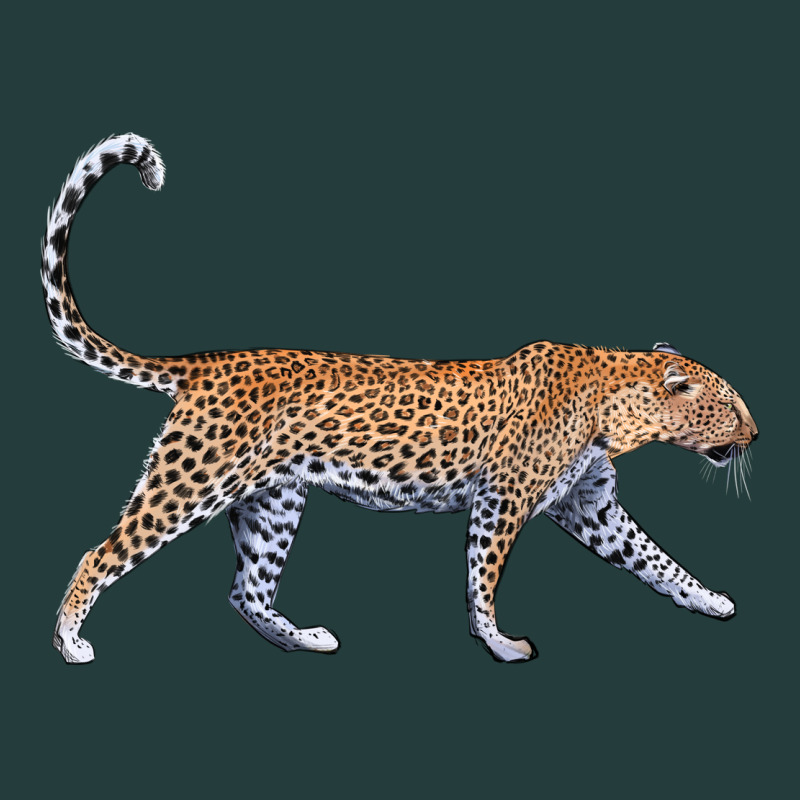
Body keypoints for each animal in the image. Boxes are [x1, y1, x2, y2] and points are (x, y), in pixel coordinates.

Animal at [42, 134, 758, 664]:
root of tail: (204, 362)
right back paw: (71, 642)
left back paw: (305, 639)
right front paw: (499, 643)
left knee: (246, 591)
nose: (757, 435)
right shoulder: (502, 499)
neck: (618, 409)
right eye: (731, 405)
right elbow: (483, 576)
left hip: (273, 499)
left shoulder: (590, 505)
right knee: (101, 554)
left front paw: (710, 599)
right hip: (193, 480)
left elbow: (656, 561)